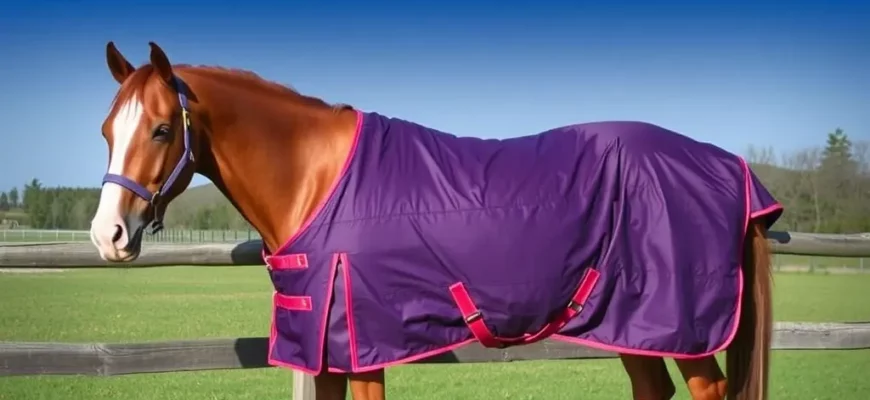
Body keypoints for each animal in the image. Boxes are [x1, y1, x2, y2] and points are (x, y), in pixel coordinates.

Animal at [89, 41, 783, 400]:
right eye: (106, 130)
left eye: (160, 129)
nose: (108, 235)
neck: (315, 178)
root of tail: (732, 168)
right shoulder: (323, 353)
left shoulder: (360, 347)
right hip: (628, 323)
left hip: (682, 326)